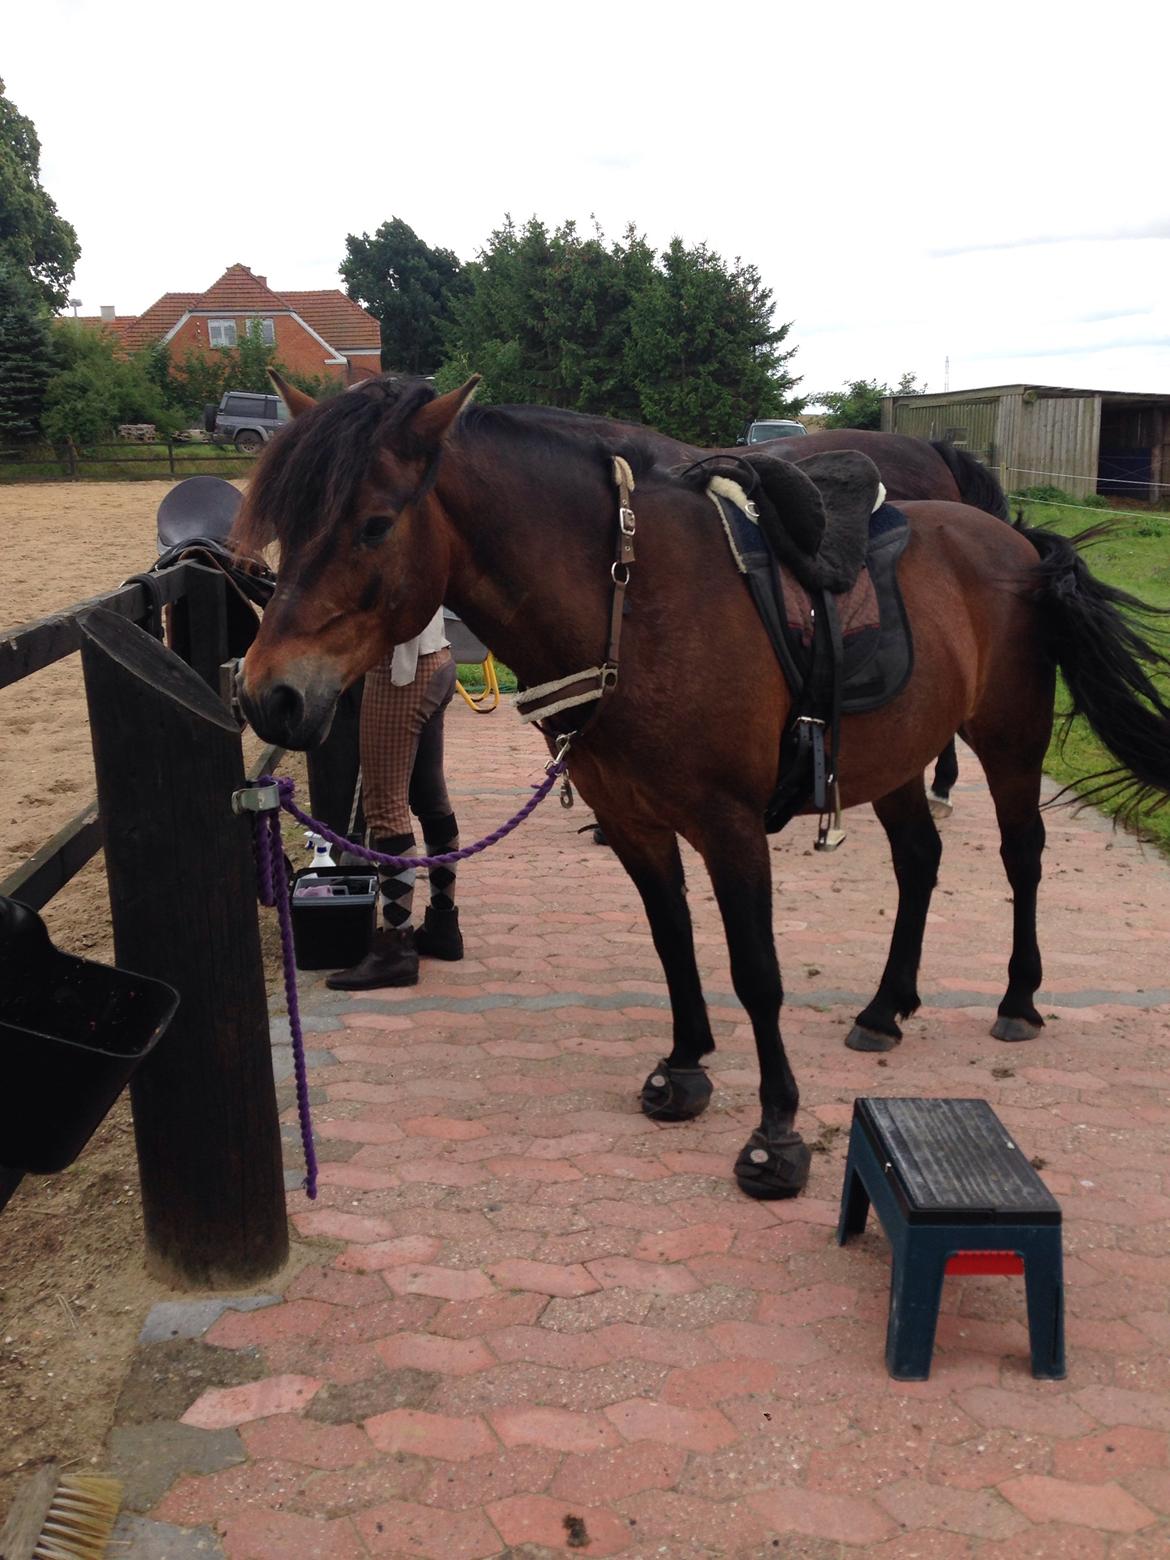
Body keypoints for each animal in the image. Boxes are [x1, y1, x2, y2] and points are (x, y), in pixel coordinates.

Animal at [235, 374, 1170, 1191]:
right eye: (285, 524)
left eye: (373, 525)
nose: (267, 695)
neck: (635, 604)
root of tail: (1015, 540)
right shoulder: (636, 824)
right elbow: (674, 943)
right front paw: (684, 1070)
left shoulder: (730, 827)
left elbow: (756, 971)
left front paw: (776, 1134)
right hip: (896, 757)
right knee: (919, 860)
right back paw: (884, 1007)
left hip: (1011, 740)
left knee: (1022, 856)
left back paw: (1018, 997)